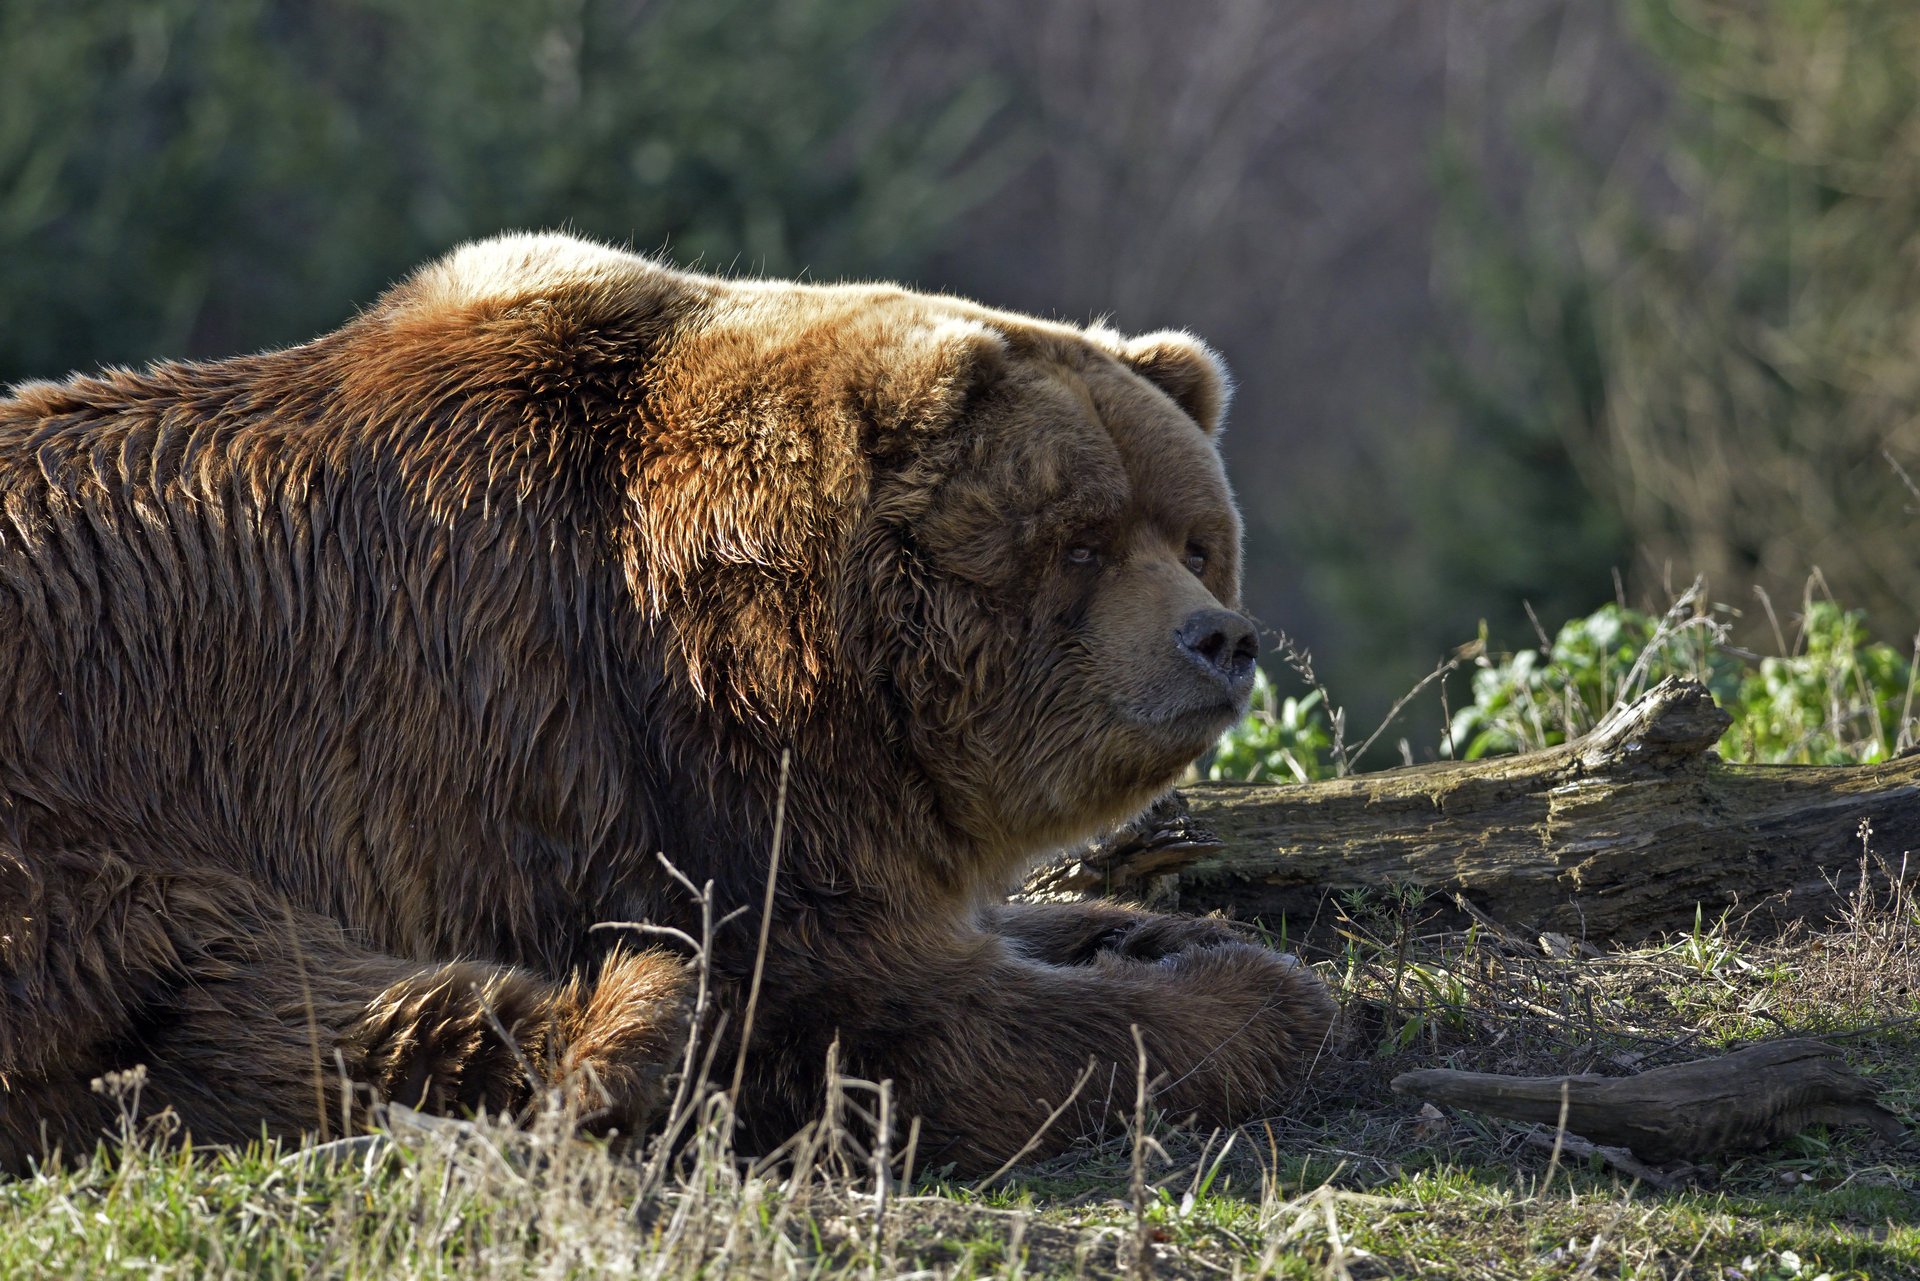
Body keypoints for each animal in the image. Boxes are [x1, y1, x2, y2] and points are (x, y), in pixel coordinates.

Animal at [0, 232, 1337, 1175]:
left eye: (1196, 539)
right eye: (1081, 541)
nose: (1218, 639)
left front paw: (1149, 928)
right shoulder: (646, 765)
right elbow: (882, 1017)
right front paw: (1250, 997)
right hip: (85, 810)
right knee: (228, 991)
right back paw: (631, 1025)